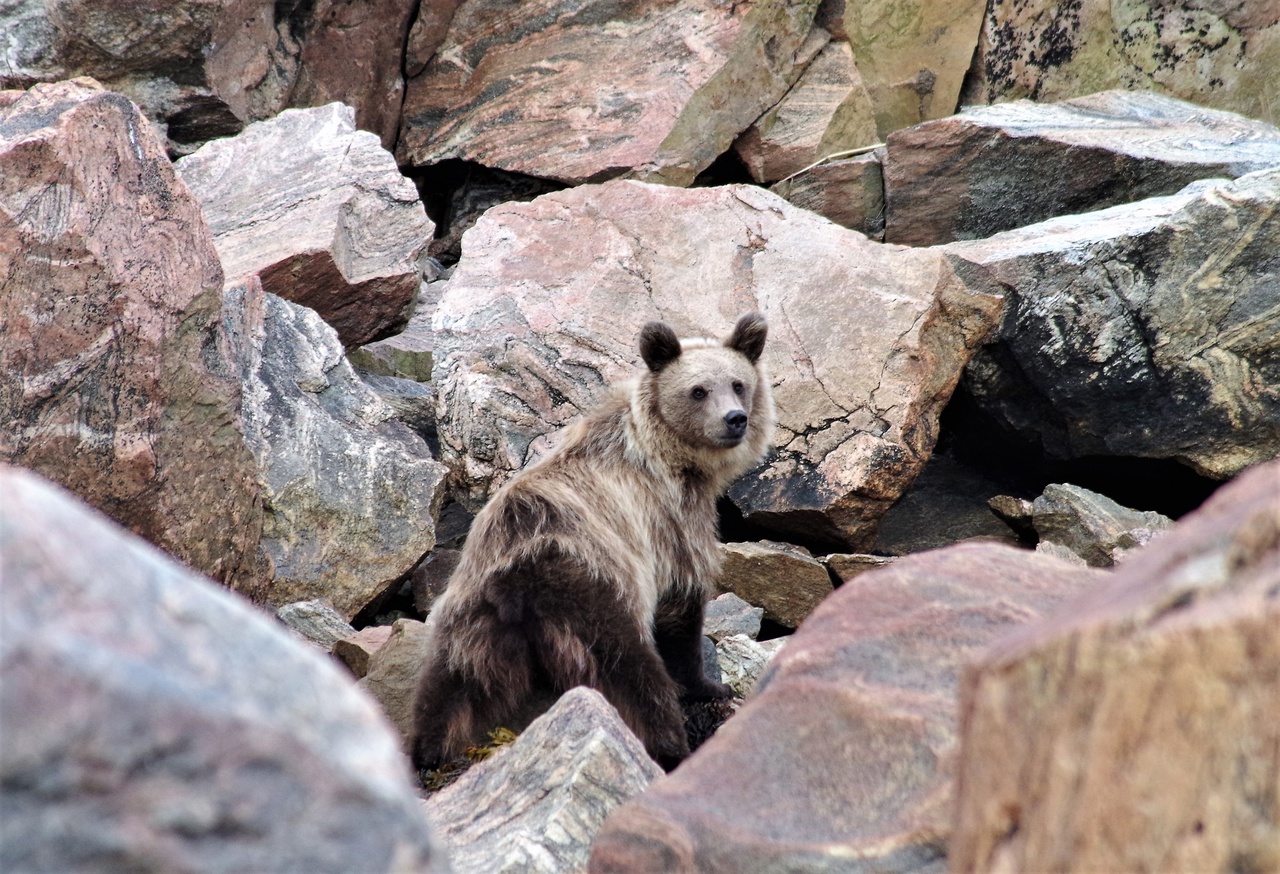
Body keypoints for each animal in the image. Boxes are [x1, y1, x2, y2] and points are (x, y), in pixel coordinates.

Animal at [412, 310, 768, 767]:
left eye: (738, 383)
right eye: (698, 390)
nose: (735, 419)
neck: (676, 458)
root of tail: (514, 582)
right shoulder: (669, 522)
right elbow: (681, 607)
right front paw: (709, 685)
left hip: (471, 614)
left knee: (451, 685)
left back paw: (427, 751)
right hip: (590, 584)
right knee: (631, 671)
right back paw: (668, 746)